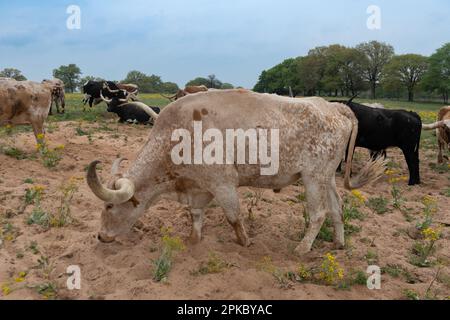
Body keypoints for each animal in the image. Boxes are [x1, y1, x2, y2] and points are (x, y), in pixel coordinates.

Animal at [87, 89, 386, 254]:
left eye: (109, 207)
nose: (100, 236)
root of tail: (334, 106)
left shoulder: (223, 183)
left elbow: (233, 217)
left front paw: (245, 242)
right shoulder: (198, 188)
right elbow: (195, 215)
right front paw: (193, 240)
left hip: (313, 178)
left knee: (318, 214)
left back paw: (302, 248)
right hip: (327, 178)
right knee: (337, 209)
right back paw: (338, 244)